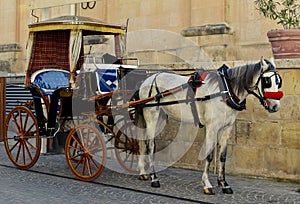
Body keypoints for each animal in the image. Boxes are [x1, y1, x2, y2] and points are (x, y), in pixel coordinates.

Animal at [136, 57, 284, 194]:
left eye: (278, 82)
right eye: (267, 81)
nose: (275, 106)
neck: (226, 91)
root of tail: (148, 80)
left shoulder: (226, 128)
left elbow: (222, 156)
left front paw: (224, 184)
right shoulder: (212, 128)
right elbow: (209, 155)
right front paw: (207, 184)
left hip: (161, 118)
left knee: (145, 142)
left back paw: (143, 172)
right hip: (152, 116)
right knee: (150, 145)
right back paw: (154, 178)